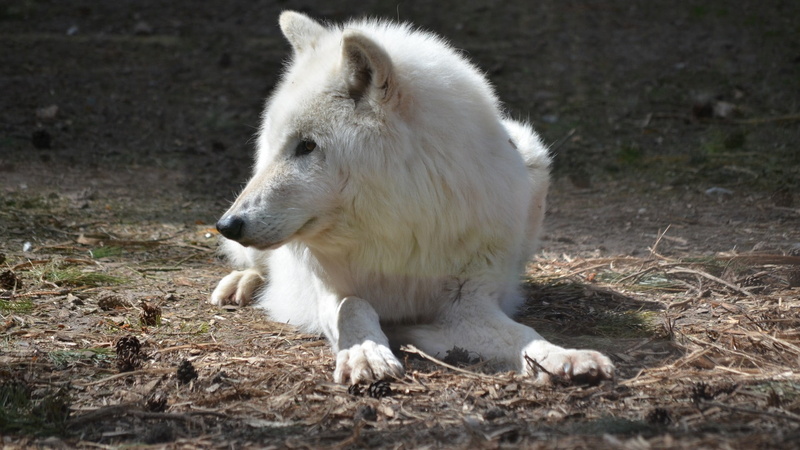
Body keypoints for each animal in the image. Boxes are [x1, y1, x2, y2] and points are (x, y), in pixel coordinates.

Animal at [210, 11, 614, 385]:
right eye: (280, 144)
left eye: (307, 146)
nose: (227, 224)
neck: (397, 227)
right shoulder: (328, 289)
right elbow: (353, 306)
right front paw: (366, 353)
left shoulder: (468, 305)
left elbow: (526, 335)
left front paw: (565, 357)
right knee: (256, 266)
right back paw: (240, 284)